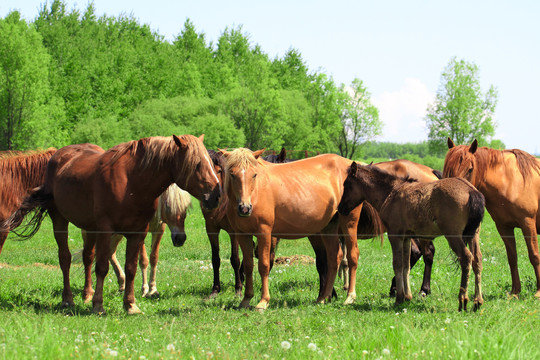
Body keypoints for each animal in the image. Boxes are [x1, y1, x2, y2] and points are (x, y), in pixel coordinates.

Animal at [3, 135, 219, 316]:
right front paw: (98, 306)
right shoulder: (106, 230)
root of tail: (57, 156)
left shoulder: (138, 232)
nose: (216, 195)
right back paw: (68, 300)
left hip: (90, 228)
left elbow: (131, 267)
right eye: (197, 164)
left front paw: (130, 305)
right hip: (61, 220)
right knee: (65, 258)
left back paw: (86, 294)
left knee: (87, 257)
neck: (132, 182)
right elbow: (102, 267)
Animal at [218, 148, 376, 310]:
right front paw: (246, 299)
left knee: (352, 255)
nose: (245, 208)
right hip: (328, 226)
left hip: (349, 221)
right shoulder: (242, 234)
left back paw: (350, 296)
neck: (256, 193)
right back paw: (323, 297)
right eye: (232, 174)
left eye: (254, 174)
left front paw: (263, 301)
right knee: (334, 257)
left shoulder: (264, 232)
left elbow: (263, 265)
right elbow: (249, 265)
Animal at [338, 163, 486, 312]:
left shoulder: (394, 235)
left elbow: (397, 264)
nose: (340, 208)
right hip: (473, 235)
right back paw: (478, 301)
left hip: (453, 236)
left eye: (347, 184)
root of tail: (471, 191)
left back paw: (463, 300)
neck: (391, 192)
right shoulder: (406, 237)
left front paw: (399, 299)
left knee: (466, 257)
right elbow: (406, 264)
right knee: (477, 259)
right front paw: (407, 297)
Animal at [442, 138, 540, 298]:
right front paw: (515, 292)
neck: (510, 182)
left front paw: (538, 292)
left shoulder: (528, 223)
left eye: (470, 169)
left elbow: (534, 256)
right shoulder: (504, 227)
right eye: (447, 168)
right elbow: (512, 258)